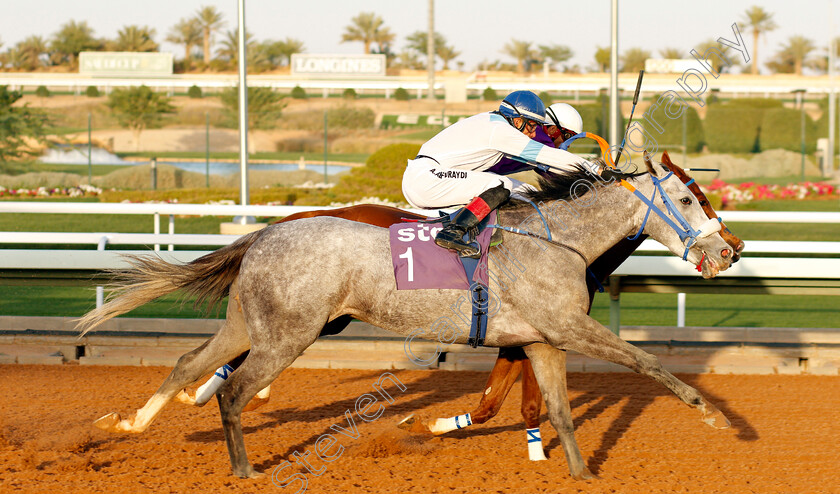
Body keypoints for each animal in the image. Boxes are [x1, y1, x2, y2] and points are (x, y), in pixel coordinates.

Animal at [80, 160, 736, 480]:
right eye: (687, 199)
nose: (730, 250)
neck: (561, 240)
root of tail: (267, 232)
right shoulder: (569, 327)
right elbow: (644, 361)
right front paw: (716, 417)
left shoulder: (543, 339)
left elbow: (558, 410)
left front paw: (579, 472)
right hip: (290, 333)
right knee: (234, 390)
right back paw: (242, 468)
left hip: (250, 323)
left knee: (189, 362)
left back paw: (133, 422)